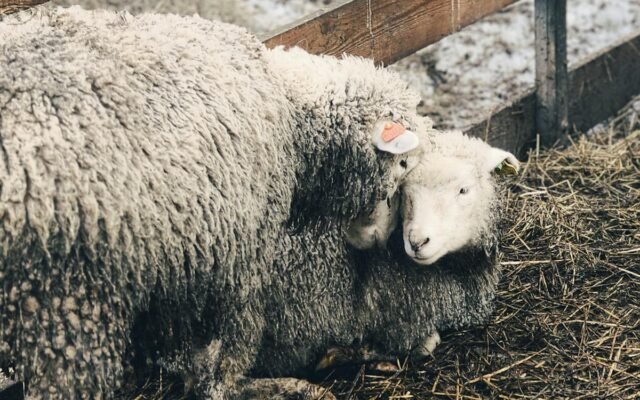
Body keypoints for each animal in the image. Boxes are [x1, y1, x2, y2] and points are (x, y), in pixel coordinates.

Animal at [0, 7, 432, 399]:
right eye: (402, 162)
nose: (381, 242)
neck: (288, 107)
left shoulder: (175, 252)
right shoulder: (240, 248)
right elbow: (239, 329)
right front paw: (234, 383)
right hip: (64, 295)